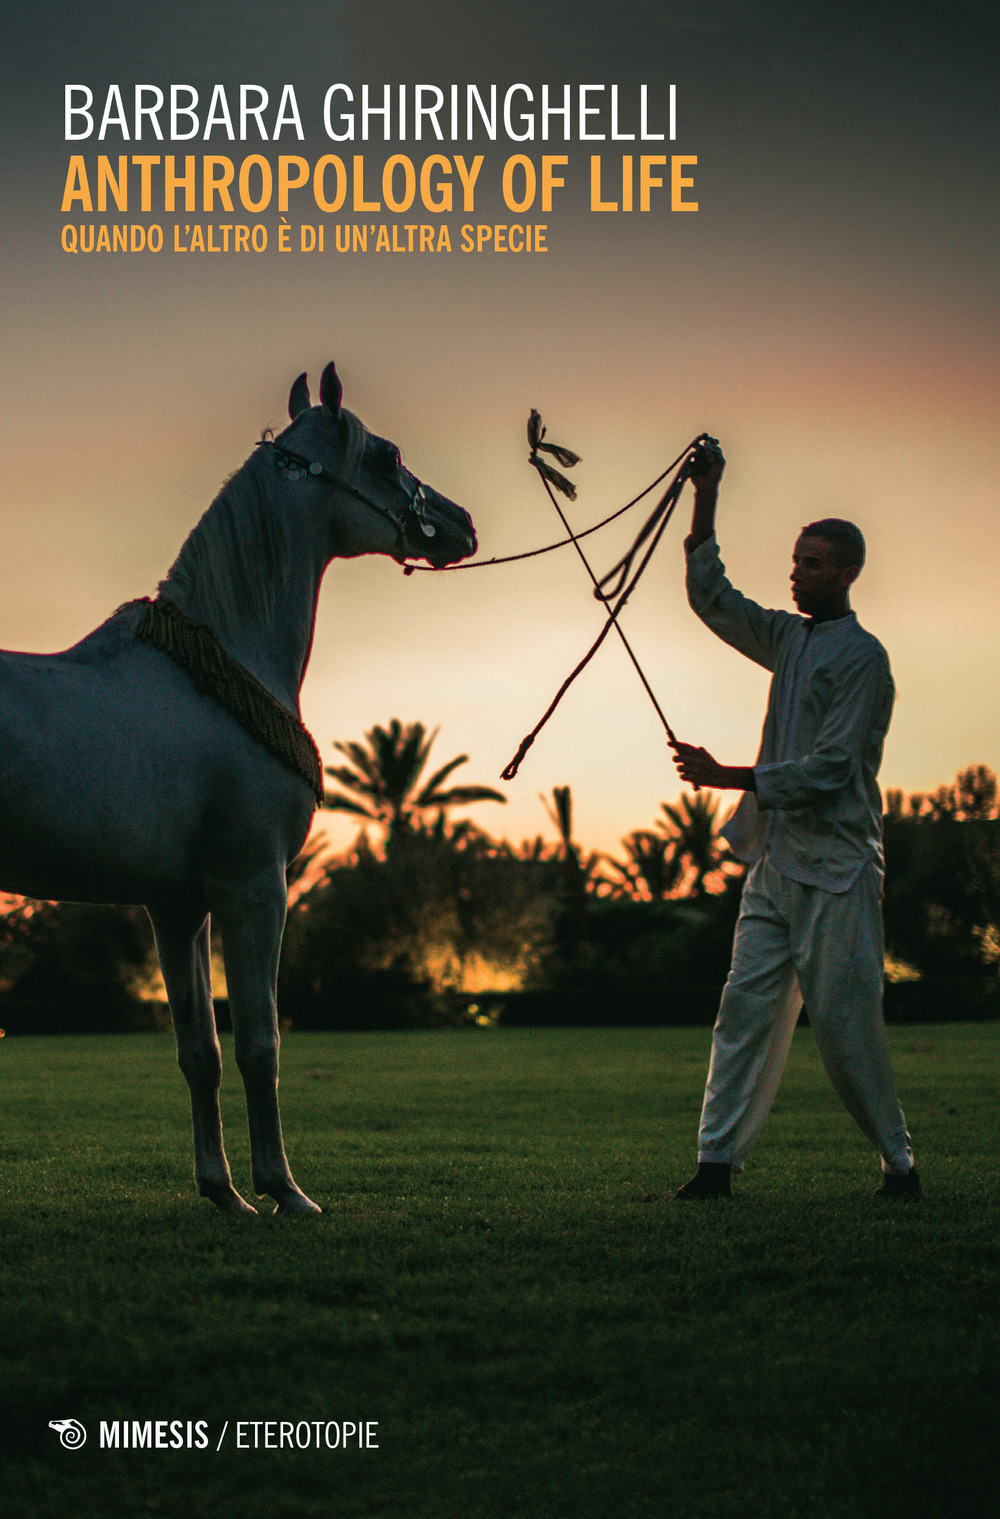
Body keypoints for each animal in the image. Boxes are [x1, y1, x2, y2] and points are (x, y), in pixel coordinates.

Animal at [0, 361, 474, 1215]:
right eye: (386, 455)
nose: (460, 522)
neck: (223, 666)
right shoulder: (254, 889)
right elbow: (259, 1042)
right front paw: (284, 1189)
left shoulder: (177, 907)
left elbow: (200, 1052)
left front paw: (222, 1191)